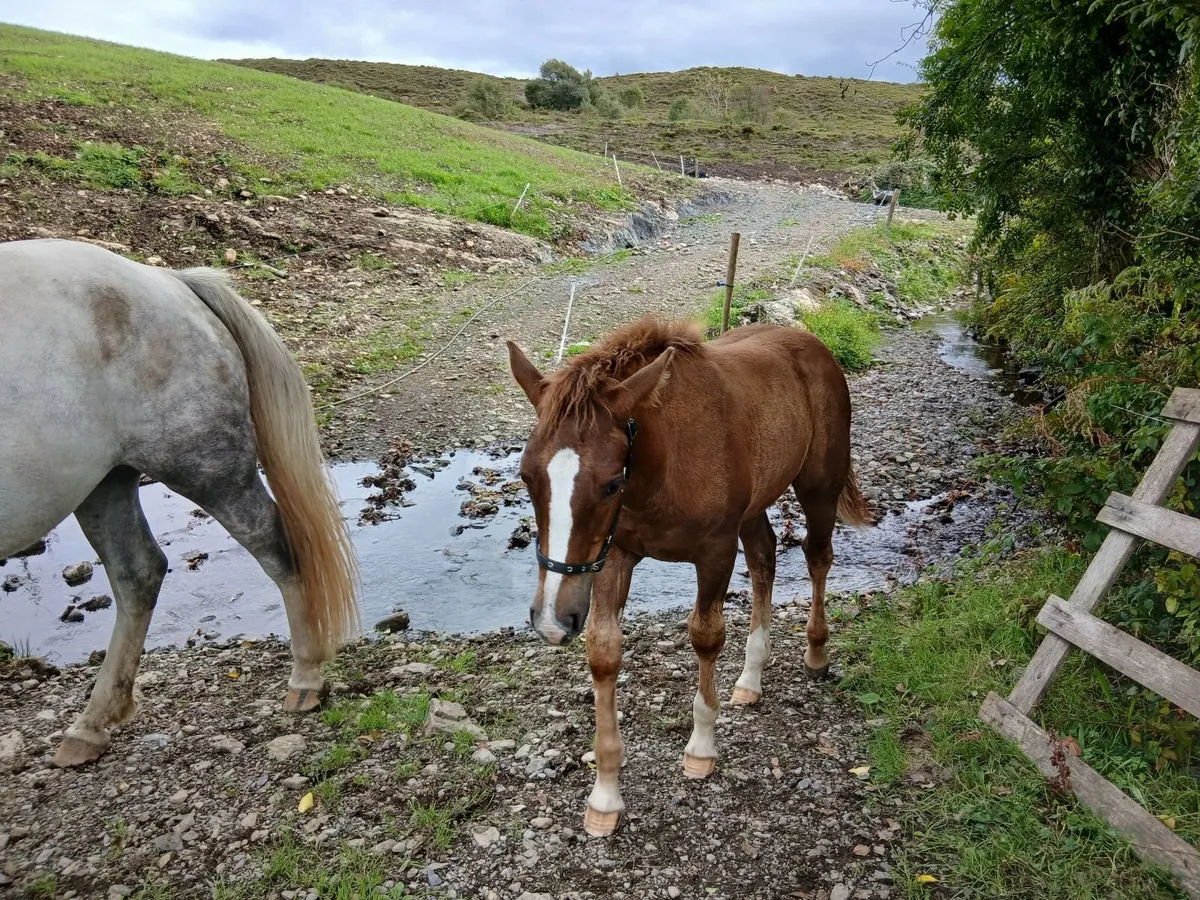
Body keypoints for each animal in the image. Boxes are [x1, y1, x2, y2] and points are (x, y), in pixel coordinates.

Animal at [0, 239, 358, 767]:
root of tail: (171, 281)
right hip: (105, 482)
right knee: (139, 573)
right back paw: (92, 723)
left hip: (204, 468)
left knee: (276, 547)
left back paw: (306, 679)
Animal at [507, 316, 872, 837]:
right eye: (525, 475)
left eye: (611, 483)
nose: (552, 620)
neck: (664, 462)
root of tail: (811, 343)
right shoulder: (615, 555)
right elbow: (603, 651)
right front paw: (605, 796)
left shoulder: (714, 552)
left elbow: (705, 636)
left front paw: (701, 749)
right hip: (754, 507)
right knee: (764, 557)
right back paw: (750, 678)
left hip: (819, 485)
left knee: (818, 557)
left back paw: (816, 653)